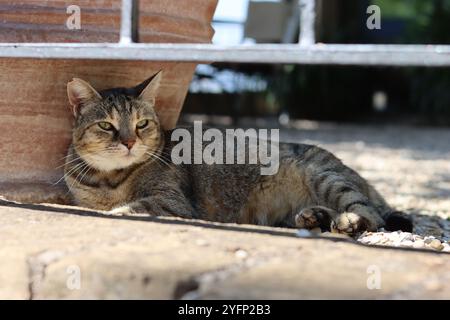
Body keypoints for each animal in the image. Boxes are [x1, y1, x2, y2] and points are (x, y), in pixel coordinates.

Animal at [62, 73, 412, 238]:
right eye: (106, 126)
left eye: (142, 124)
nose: (129, 141)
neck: (109, 180)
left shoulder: (174, 203)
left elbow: (132, 206)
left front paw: (116, 211)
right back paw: (316, 217)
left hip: (326, 178)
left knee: (372, 216)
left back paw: (347, 221)